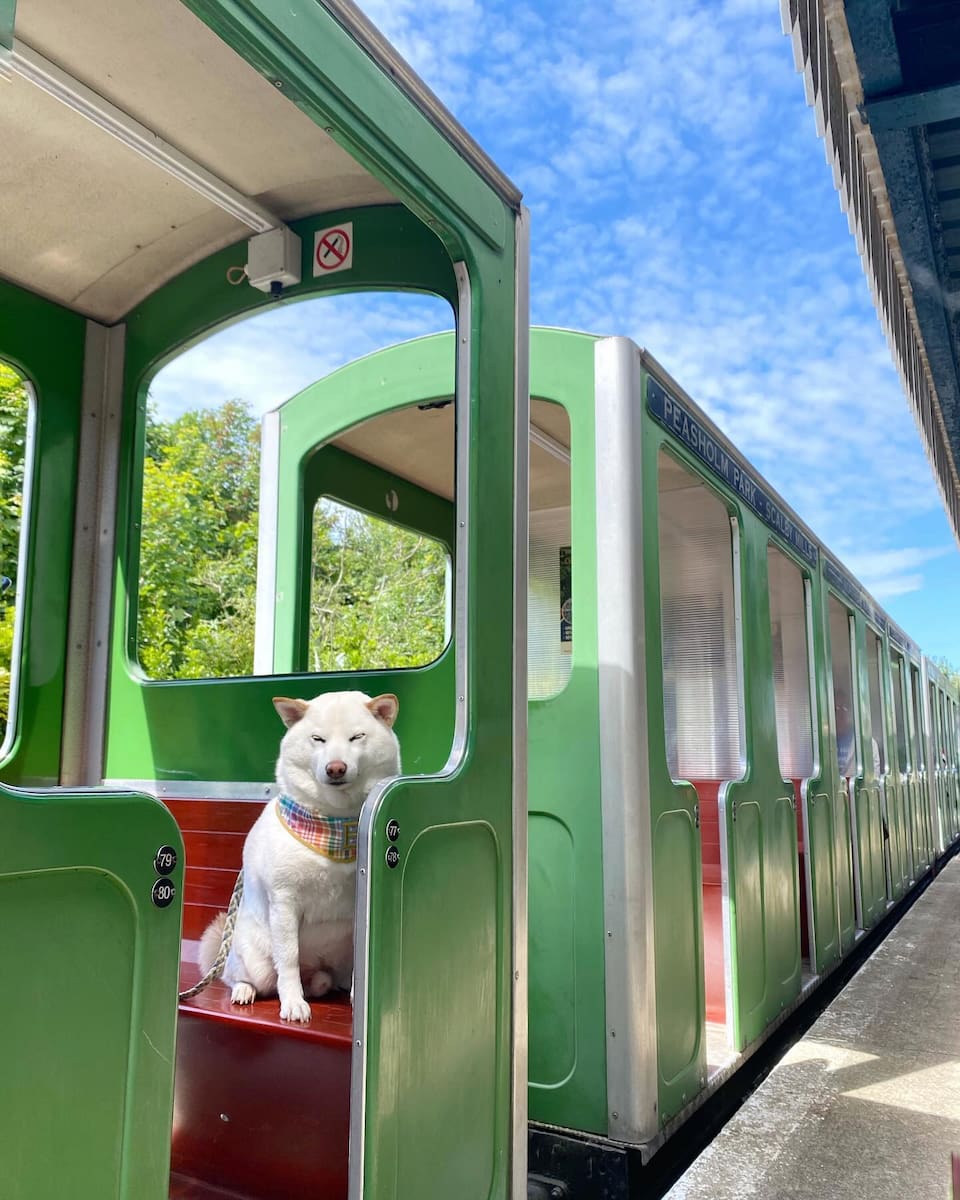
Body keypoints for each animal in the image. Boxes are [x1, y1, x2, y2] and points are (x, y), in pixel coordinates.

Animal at [199, 696, 400, 1022]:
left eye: (356, 737)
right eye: (318, 739)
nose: (335, 768)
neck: (334, 826)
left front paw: (357, 998)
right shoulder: (284, 900)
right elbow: (289, 959)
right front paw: (293, 1003)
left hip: (332, 968)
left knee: (324, 979)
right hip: (254, 960)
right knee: (237, 976)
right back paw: (244, 990)